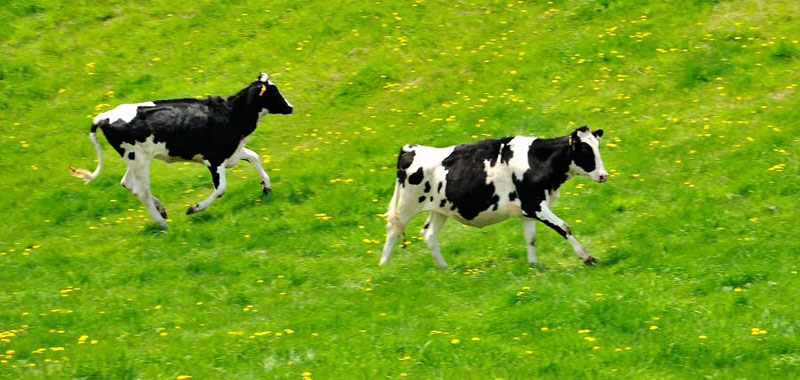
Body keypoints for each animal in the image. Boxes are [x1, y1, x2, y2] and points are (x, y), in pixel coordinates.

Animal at [70, 73, 292, 229]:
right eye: (274, 93)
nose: (290, 107)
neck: (232, 113)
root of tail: (105, 116)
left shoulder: (232, 152)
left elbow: (255, 157)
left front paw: (266, 187)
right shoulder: (214, 158)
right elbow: (221, 188)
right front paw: (194, 208)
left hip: (134, 159)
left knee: (128, 183)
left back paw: (161, 211)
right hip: (138, 159)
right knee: (141, 191)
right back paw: (163, 224)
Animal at [382, 127, 608, 268]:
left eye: (597, 147)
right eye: (585, 149)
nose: (604, 175)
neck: (537, 159)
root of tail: (411, 148)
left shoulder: (528, 210)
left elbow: (530, 238)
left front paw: (534, 265)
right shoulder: (535, 204)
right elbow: (564, 227)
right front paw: (587, 258)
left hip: (440, 209)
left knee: (428, 234)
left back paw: (445, 268)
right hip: (407, 205)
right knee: (393, 231)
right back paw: (384, 267)